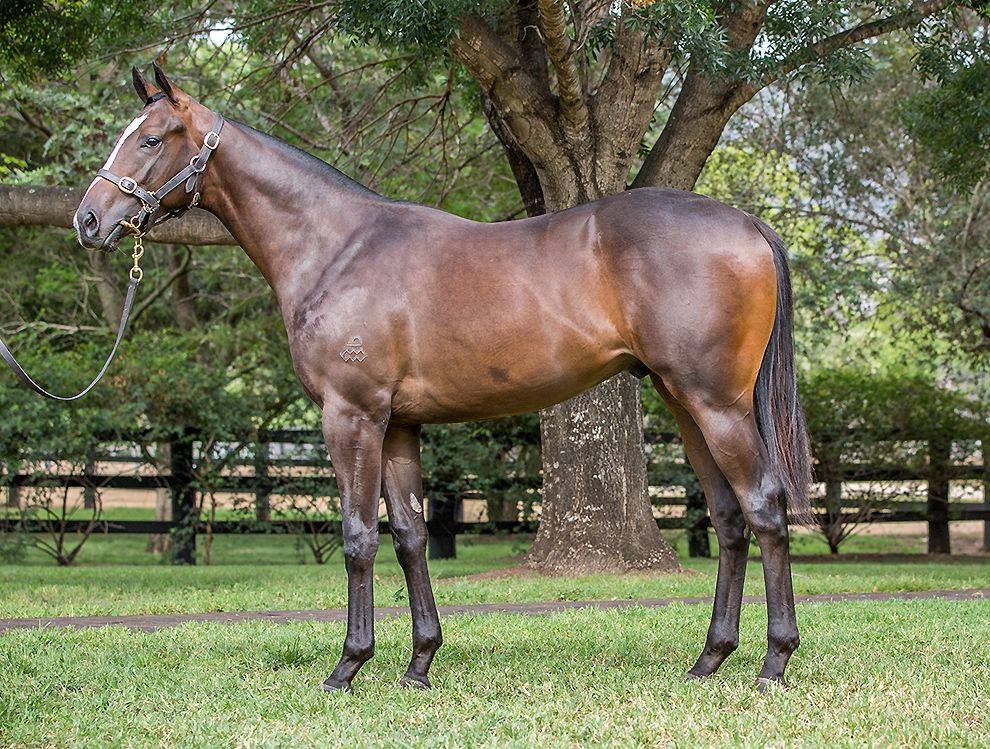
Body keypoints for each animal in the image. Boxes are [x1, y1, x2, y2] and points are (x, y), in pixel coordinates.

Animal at [74, 64, 812, 693]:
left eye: (150, 138)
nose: (88, 219)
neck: (337, 247)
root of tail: (745, 221)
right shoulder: (398, 424)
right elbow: (409, 536)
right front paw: (419, 663)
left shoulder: (351, 416)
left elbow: (358, 537)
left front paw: (348, 666)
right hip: (684, 403)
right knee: (729, 518)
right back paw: (709, 659)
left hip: (717, 405)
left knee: (764, 507)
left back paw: (774, 663)